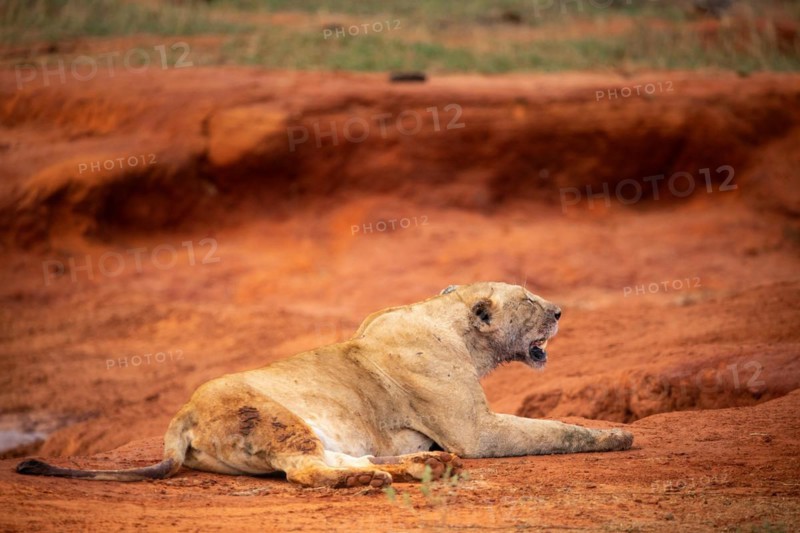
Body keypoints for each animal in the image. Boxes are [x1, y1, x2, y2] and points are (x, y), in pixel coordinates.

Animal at [17, 281, 633, 488]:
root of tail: (179, 416)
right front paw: (619, 437)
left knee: (340, 458)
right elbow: (557, 430)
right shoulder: (475, 432)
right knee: (307, 470)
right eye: (527, 299)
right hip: (276, 415)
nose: (560, 311)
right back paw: (380, 479)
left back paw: (423, 467)